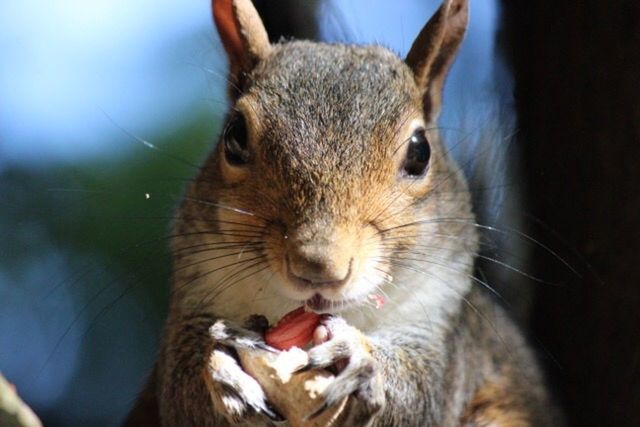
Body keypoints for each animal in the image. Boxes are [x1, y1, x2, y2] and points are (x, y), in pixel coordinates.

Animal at [125, 0, 560, 426]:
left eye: (420, 152)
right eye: (235, 136)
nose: (319, 266)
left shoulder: (445, 328)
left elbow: (421, 394)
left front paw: (361, 361)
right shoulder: (194, 301)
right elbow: (181, 391)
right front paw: (220, 369)